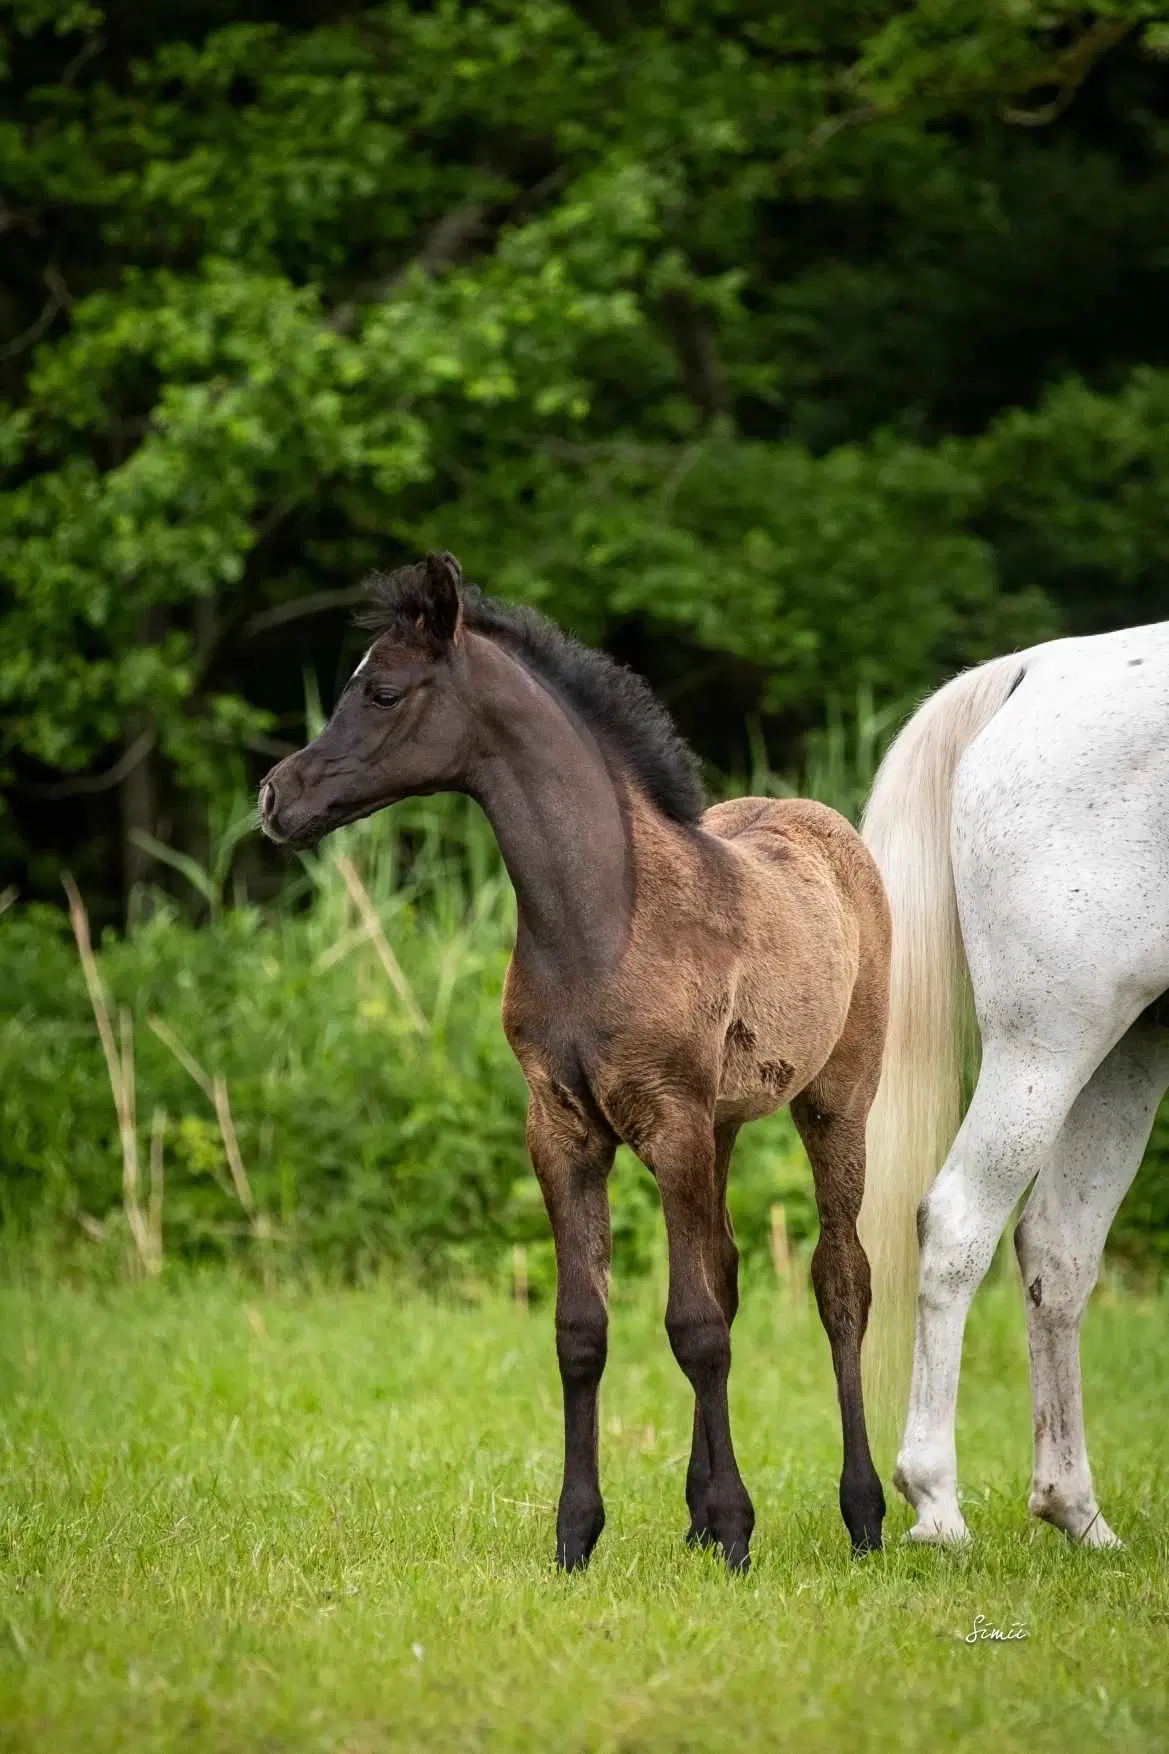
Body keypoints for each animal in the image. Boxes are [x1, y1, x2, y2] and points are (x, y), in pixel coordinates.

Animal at [259, 550, 888, 1578]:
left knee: (840, 1283)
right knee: (728, 1268)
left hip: (834, 1102)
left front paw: (735, 1531)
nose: (275, 798)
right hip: (721, 1124)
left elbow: (692, 1327)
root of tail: (826, 824)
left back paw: (864, 1515)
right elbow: (583, 1330)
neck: (601, 921)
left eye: (382, 691)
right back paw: (693, 1516)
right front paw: (578, 1536)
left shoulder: (668, 1119)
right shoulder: (562, 1129)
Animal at [856, 620, 1165, 1550]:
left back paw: (1079, 1517)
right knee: (960, 1221)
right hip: (1049, 1043)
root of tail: (1038, 668)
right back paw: (936, 1507)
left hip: (1128, 1045)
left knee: (1057, 1249)